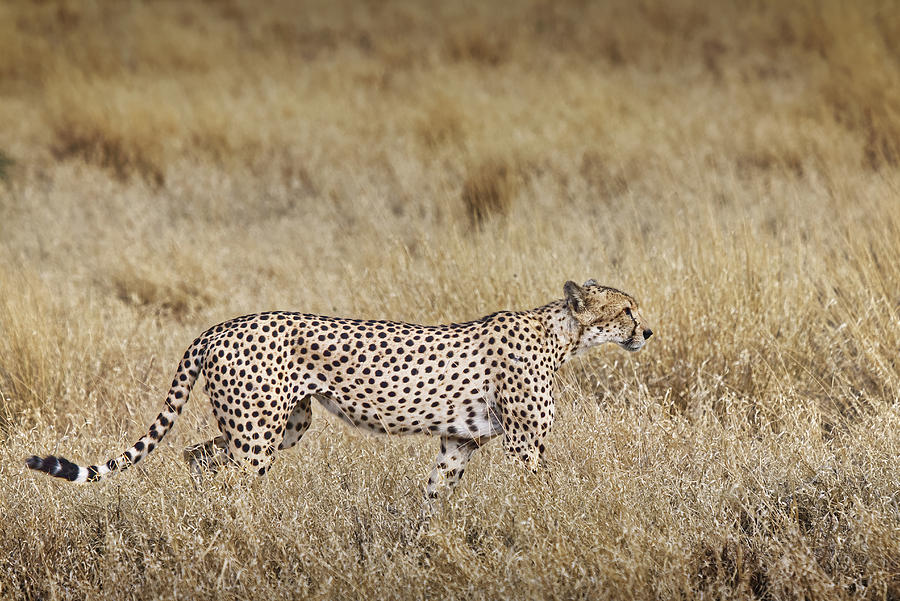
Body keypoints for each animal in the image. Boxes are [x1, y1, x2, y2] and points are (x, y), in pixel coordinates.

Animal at [24, 278, 652, 500]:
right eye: (626, 308)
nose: (647, 330)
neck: (563, 334)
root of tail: (220, 325)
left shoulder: (458, 442)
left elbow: (435, 500)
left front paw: (423, 549)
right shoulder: (525, 446)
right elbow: (540, 496)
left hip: (287, 424)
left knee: (196, 455)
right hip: (260, 434)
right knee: (233, 481)